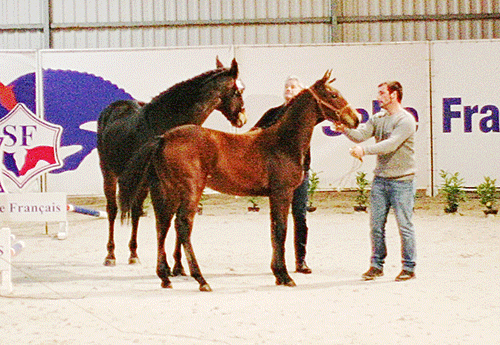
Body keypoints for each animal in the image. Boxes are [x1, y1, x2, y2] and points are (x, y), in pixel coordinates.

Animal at [97, 57, 246, 266]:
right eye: (239, 91)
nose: (242, 119)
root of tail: (113, 107)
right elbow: (164, 219)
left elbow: (177, 217)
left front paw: (178, 264)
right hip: (109, 173)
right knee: (112, 210)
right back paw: (110, 255)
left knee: (135, 210)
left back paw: (134, 254)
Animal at [117, 71, 360, 288]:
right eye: (333, 95)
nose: (355, 119)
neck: (282, 142)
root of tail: (163, 138)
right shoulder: (282, 192)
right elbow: (281, 230)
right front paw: (285, 276)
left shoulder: (274, 195)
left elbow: (274, 230)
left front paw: (278, 274)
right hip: (190, 189)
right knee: (183, 225)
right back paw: (200, 279)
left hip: (166, 190)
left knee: (163, 224)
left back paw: (165, 277)